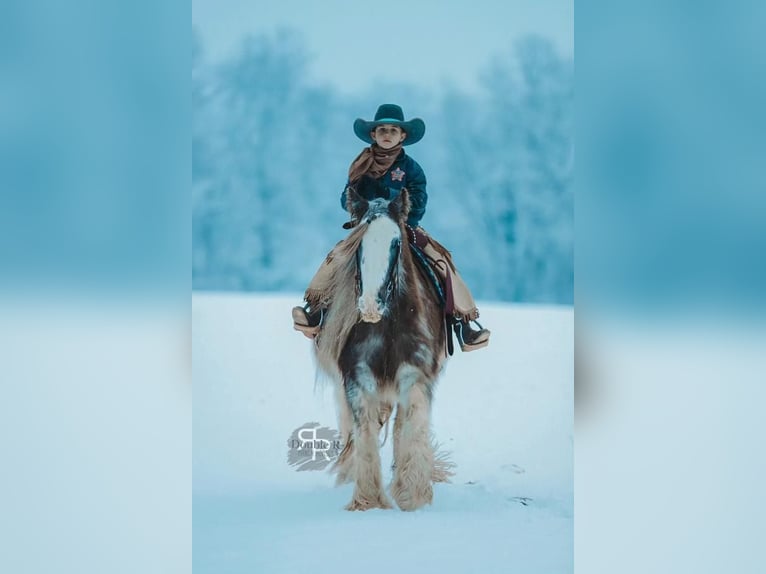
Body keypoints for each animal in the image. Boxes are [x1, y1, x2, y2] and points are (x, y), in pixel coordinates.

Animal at [314, 188, 452, 512]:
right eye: (358, 243)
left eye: (396, 243)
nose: (370, 306)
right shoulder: (356, 377)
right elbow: (363, 431)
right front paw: (368, 500)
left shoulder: (415, 374)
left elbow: (412, 426)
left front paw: (413, 495)